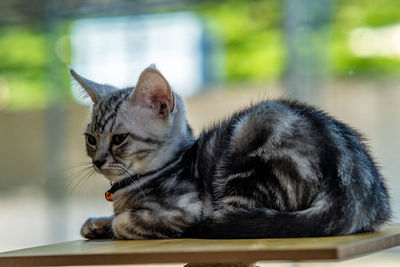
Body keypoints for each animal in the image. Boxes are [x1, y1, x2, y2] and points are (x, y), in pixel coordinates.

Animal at [69, 65, 390, 241]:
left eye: (119, 138)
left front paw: (112, 225)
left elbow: (126, 222)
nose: (97, 160)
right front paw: (96, 223)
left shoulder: (187, 207)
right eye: (91, 139)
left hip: (251, 147)